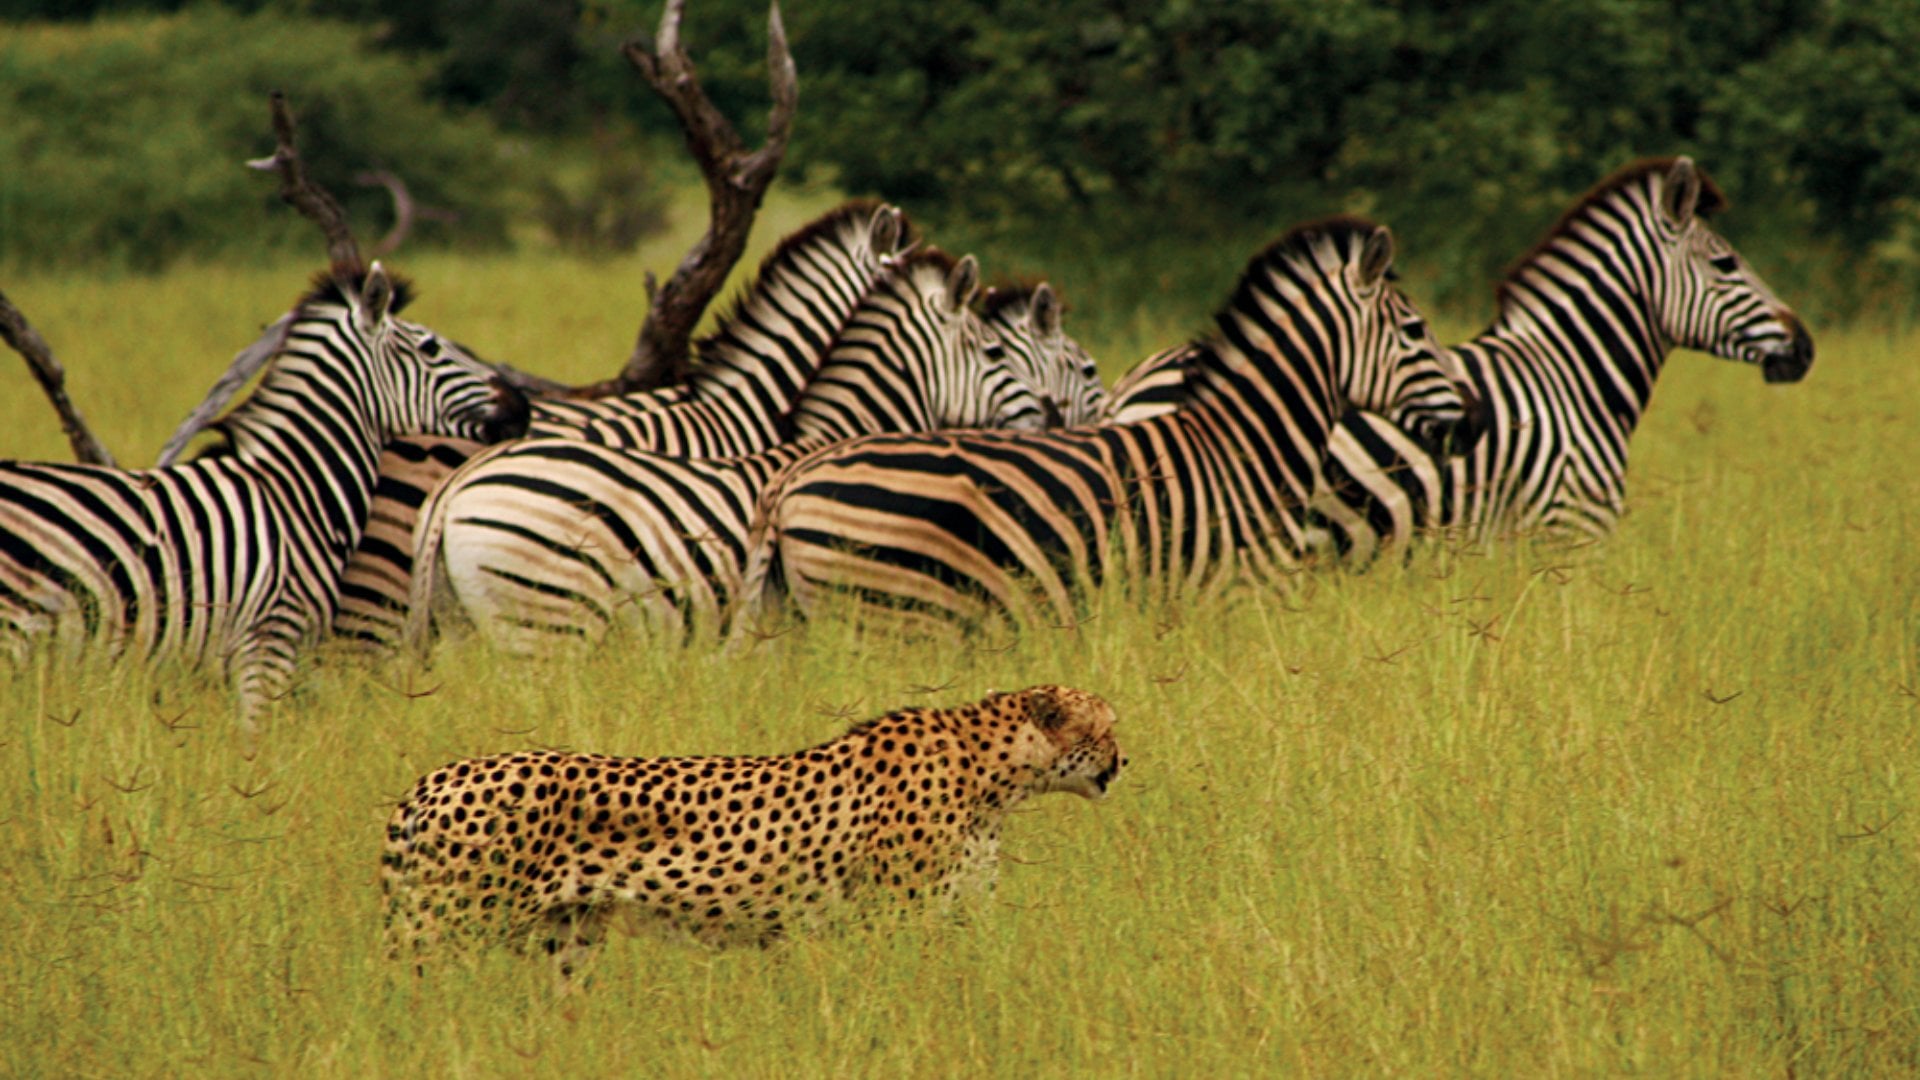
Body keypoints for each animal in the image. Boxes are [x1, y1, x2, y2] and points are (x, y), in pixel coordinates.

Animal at [380, 684, 1123, 974]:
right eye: (1108, 727)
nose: (1125, 760)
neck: (993, 768)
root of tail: (437, 777)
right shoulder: (895, 923)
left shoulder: (958, 918)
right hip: (447, 930)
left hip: (569, 940)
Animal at [735, 217, 1484, 637]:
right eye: (1414, 331)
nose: (1476, 420)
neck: (1246, 450)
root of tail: (789, 482)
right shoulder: (1236, 608)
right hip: (893, 621)